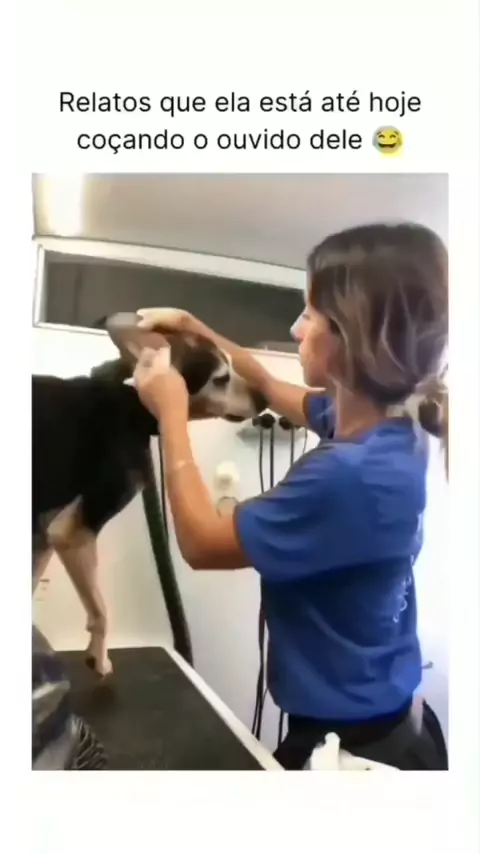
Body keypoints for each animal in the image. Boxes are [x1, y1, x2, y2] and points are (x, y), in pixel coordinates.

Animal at [33, 312, 267, 677]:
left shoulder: (43, 533)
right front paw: (99, 658)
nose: (265, 398)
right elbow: (101, 611)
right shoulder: (71, 531)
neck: (132, 402)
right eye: (221, 378)